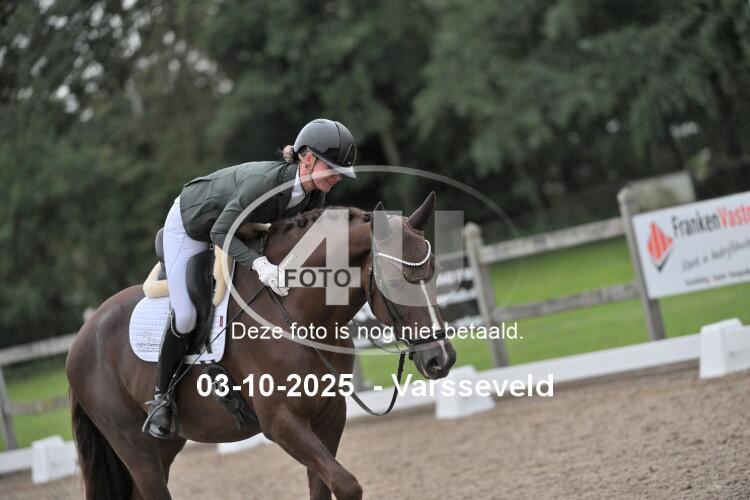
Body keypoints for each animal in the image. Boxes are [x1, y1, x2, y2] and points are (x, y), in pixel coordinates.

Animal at [66, 192, 456, 500]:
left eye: (435, 271)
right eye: (394, 281)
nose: (442, 359)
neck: (300, 312)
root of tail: (81, 336)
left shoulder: (329, 415)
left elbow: (324, 487)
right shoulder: (281, 422)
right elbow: (347, 485)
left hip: (166, 444)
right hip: (133, 444)